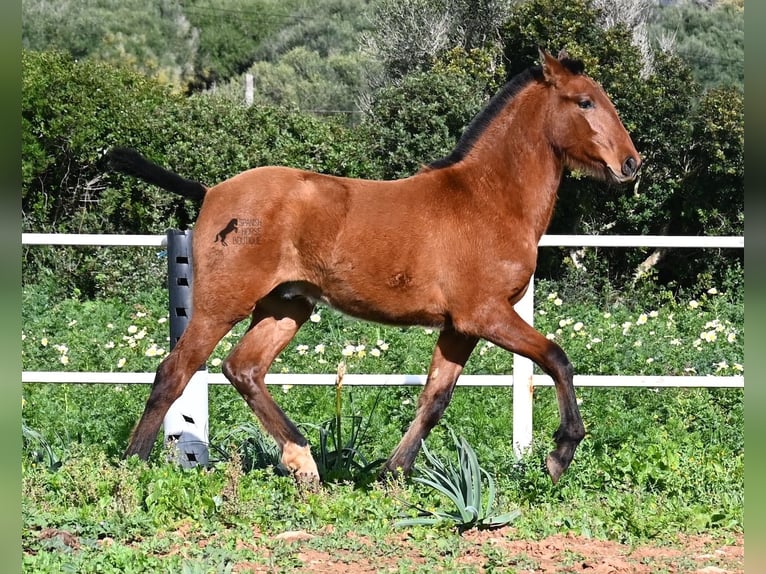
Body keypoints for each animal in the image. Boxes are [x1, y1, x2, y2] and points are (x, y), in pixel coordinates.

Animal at [105, 49, 640, 486]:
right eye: (585, 102)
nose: (631, 164)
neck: (488, 199)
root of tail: (210, 192)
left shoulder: (459, 326)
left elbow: (434, 398)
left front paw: (392, 474)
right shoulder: (485, 314)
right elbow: (556, 357)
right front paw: (560, 454)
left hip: (286, 307)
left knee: (244, 368)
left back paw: (304, 464)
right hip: (223, 304)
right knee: (174, 371)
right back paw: (133, 466)